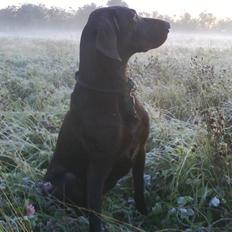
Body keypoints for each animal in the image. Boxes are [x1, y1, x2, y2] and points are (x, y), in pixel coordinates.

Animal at [44, 5, 170, 232]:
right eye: (133, 16)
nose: (168, 25)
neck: (117, 92)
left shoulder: (140, 151)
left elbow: (139, 190)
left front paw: (145, 217)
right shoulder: (98, 165)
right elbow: (95, 215)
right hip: (66, 179)